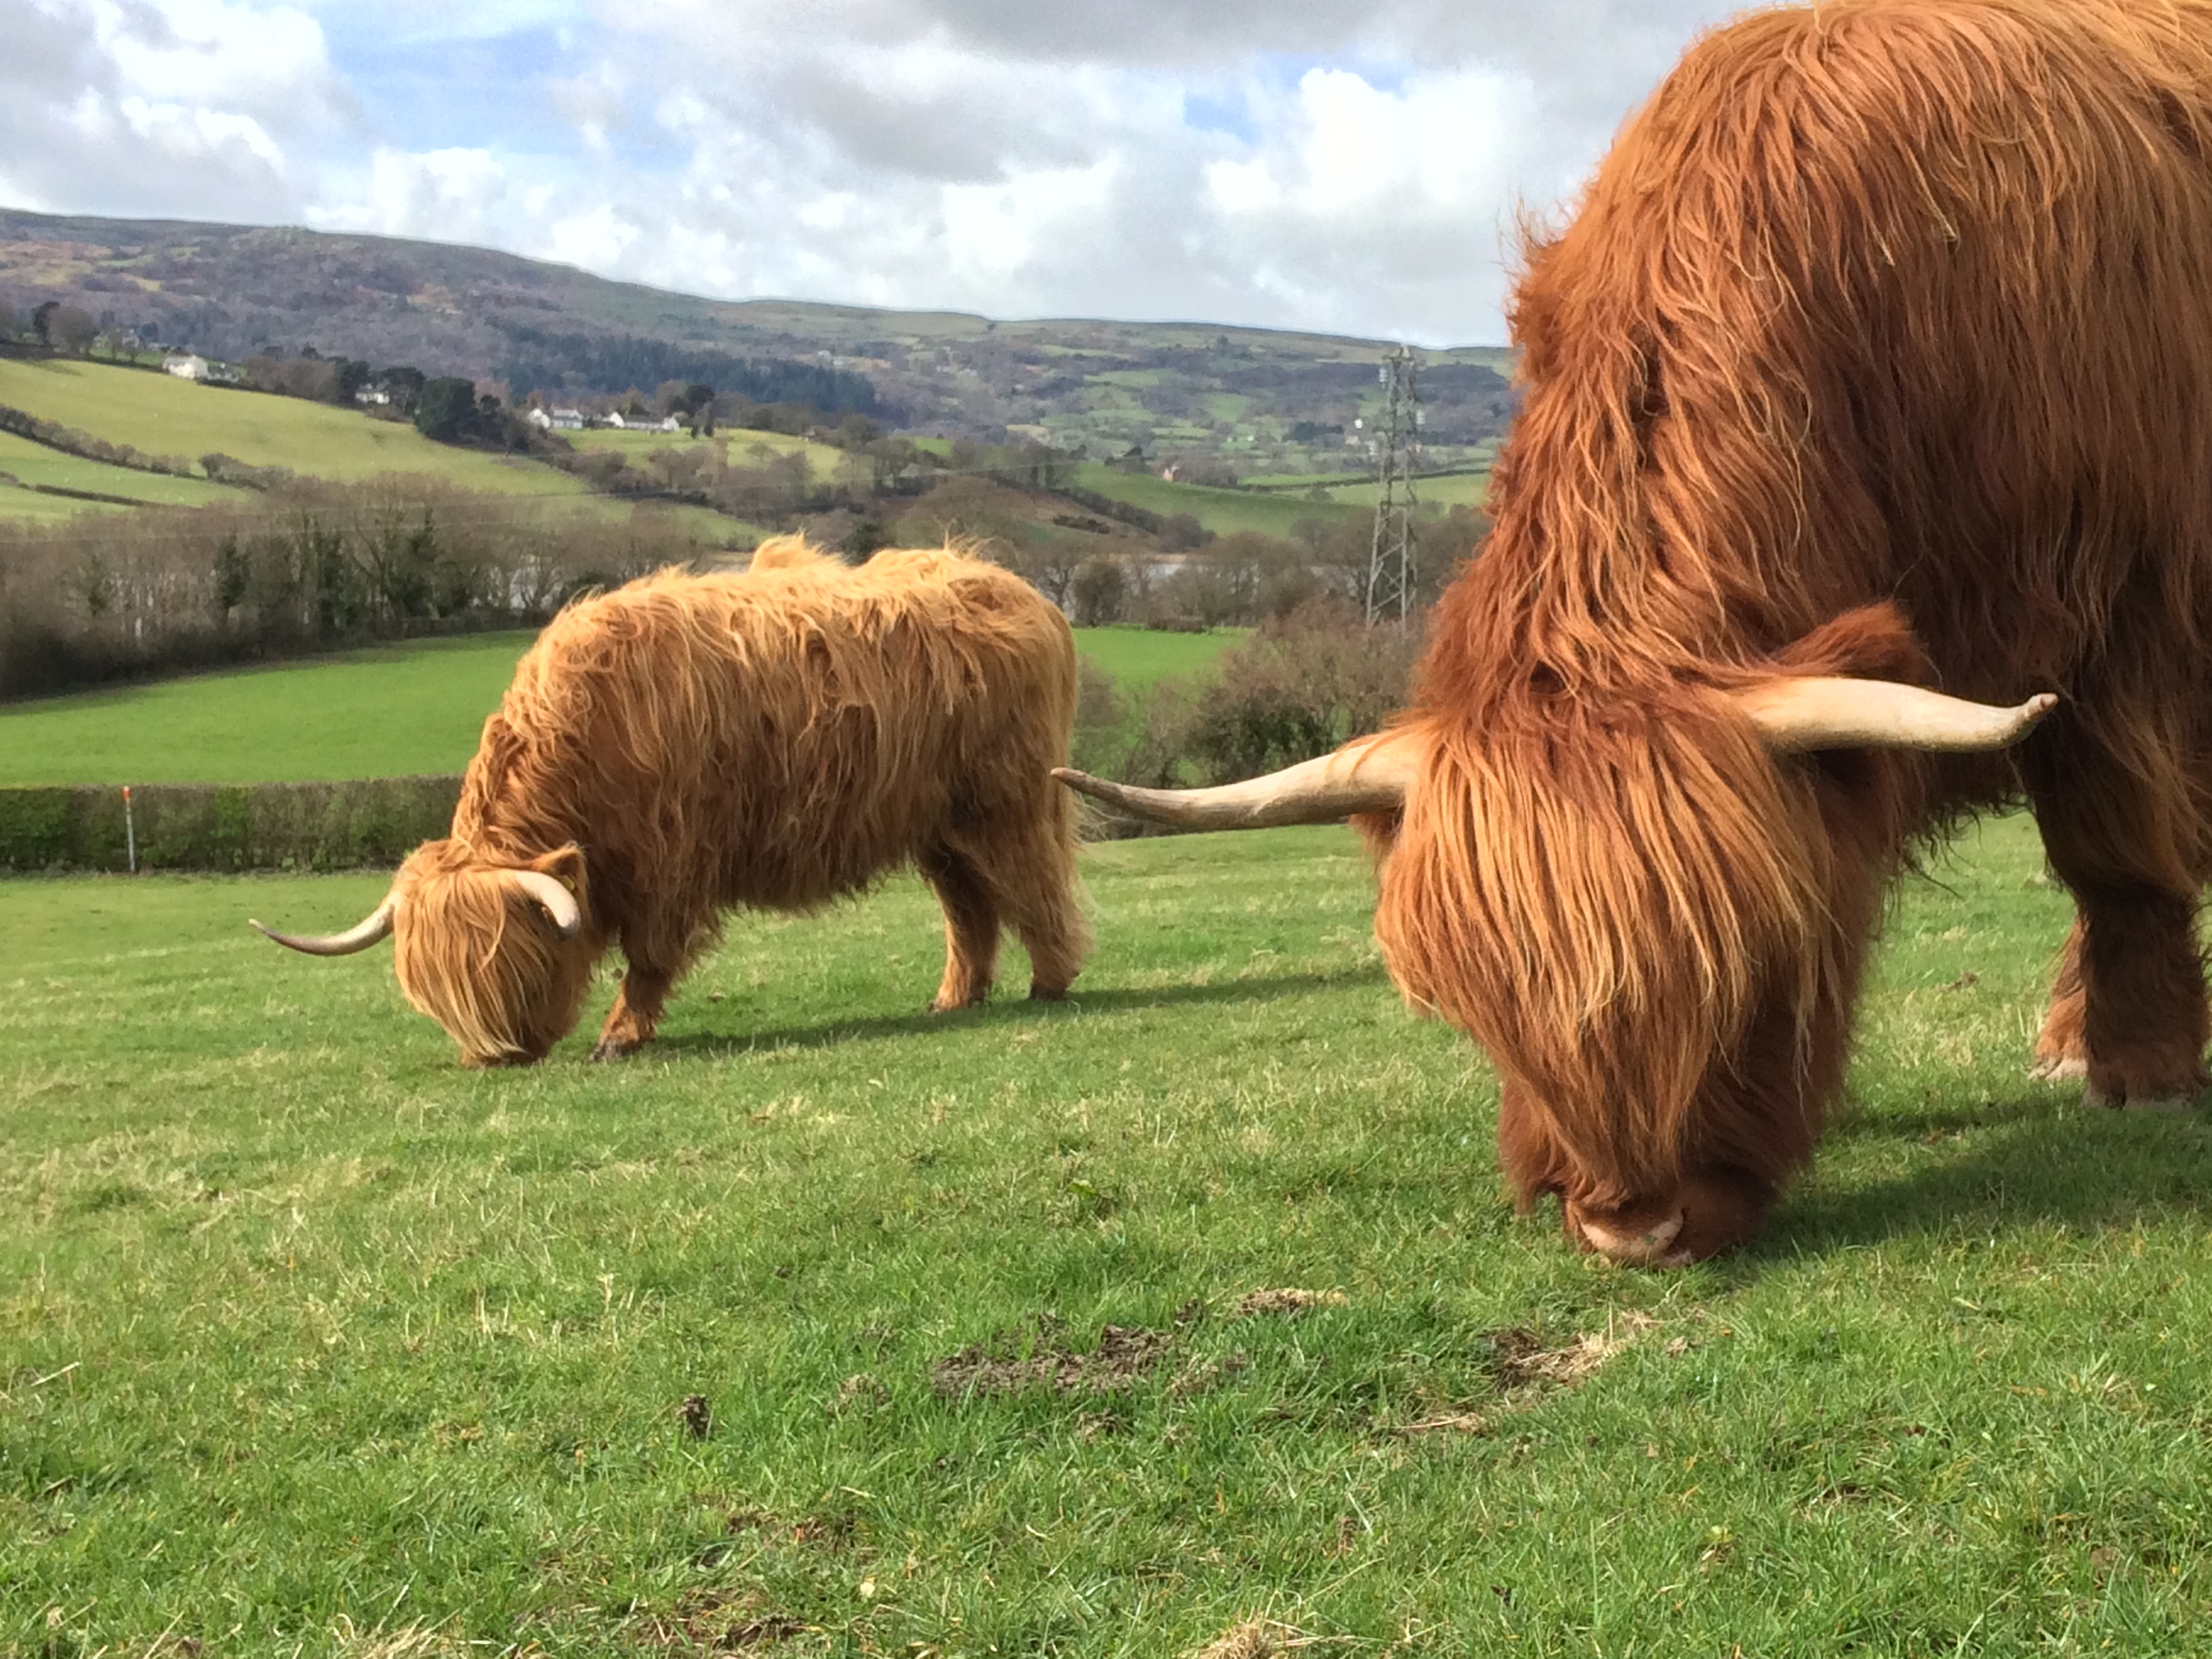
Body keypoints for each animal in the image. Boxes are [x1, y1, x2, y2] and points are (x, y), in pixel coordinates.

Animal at [254, 539, 1092, 1070]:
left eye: (515, 968)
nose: (495, 1059)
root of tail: (1025, 594)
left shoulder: (670, 862)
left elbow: (649, 959)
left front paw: (619, 1037)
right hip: (938, 826)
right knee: (970, 907)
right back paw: (954, 999)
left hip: (1007, 803)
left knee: (1033, 885)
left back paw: (1049, 983)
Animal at [1052, 0, 2212, 1265]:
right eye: (1482, 1017)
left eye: (1757, 969)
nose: (1630, 1228)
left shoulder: (2123, 618)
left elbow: (2116, 850)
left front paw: (2144, 1072)